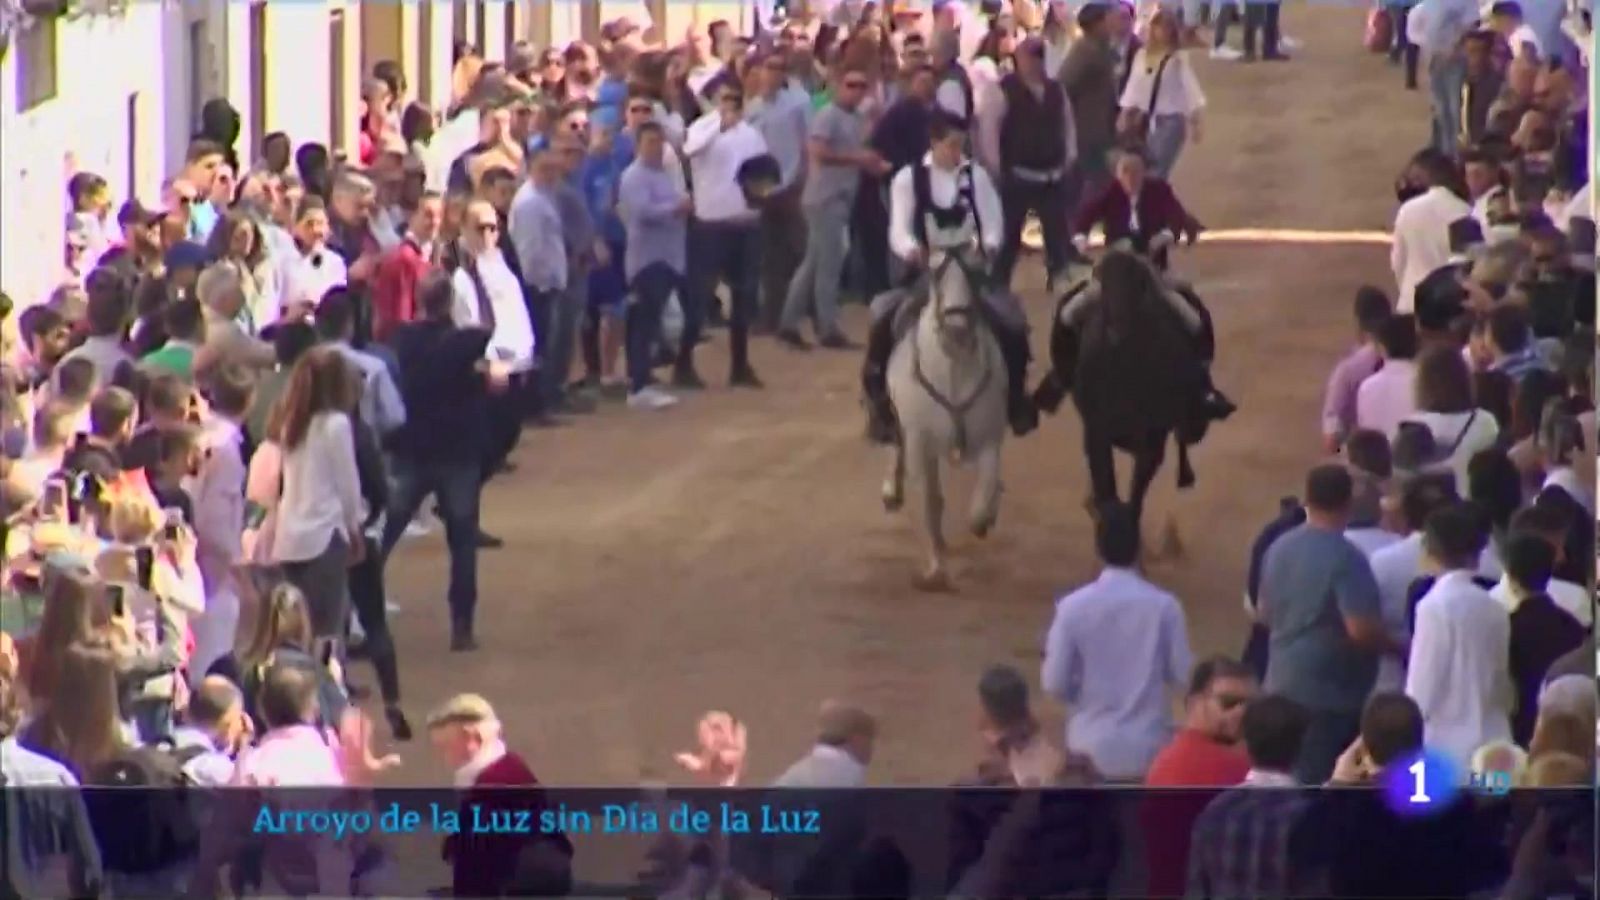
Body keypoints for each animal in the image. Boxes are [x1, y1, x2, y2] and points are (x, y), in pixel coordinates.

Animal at [883, 241, 1004, 589]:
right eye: (936, 274)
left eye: (974, 273)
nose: (957, 325)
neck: (952, 369)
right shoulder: (918, 441)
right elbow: (928, 503)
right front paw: (935, 568)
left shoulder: (989, 438)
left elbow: (985, 490)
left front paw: (983, 520)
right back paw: (891, 492)